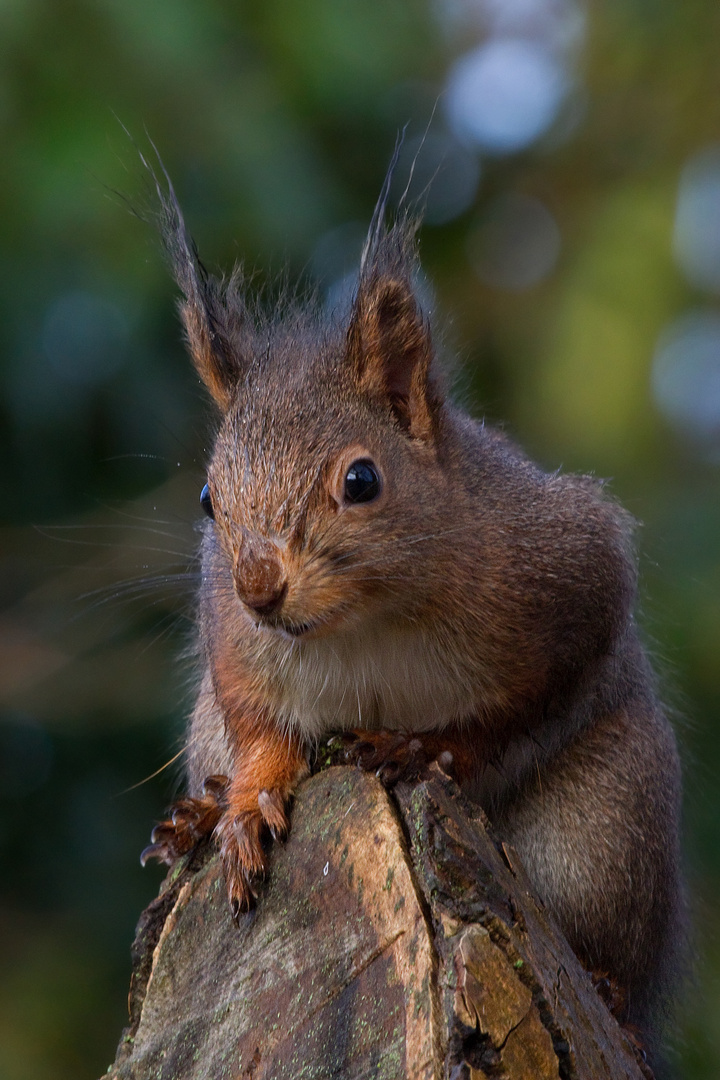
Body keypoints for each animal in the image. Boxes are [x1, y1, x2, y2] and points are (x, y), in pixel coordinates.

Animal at [139, 156, 682, 1049]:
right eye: (210, 500)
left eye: (362, 480)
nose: (259, 589)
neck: (362, 622)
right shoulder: (233, 641)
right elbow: (256, 719)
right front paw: (249, 800)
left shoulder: (568, 570)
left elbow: (528, 701)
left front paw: (427, 747)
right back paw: (201, 812)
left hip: (607, 826)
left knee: (617, 949)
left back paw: (609, 985)